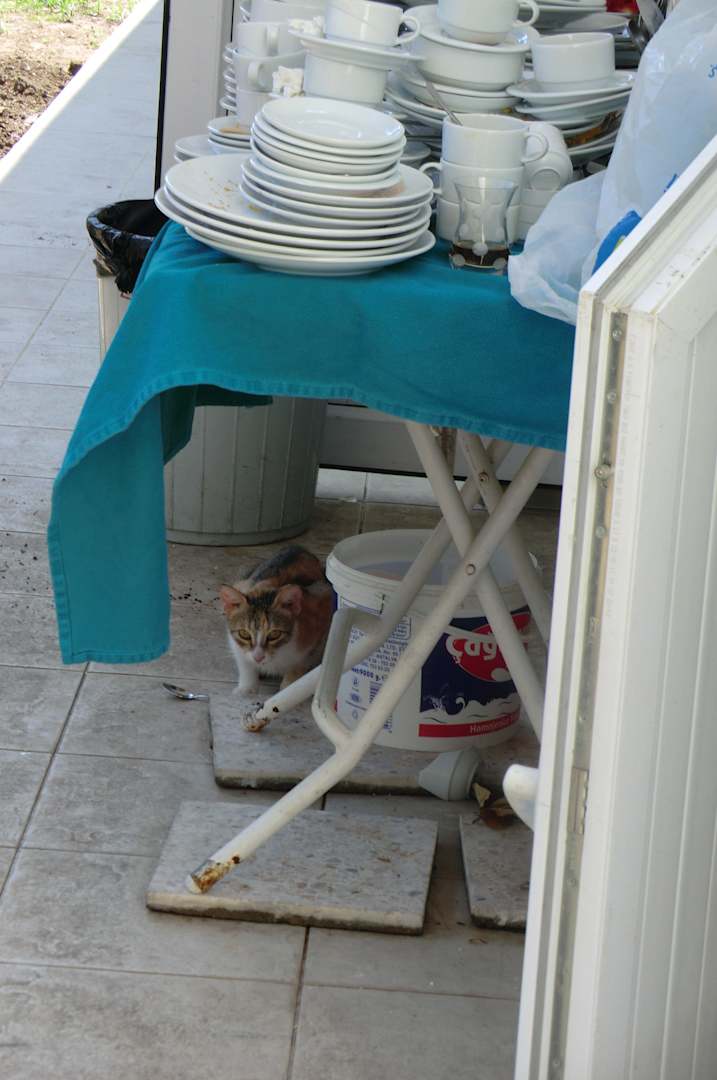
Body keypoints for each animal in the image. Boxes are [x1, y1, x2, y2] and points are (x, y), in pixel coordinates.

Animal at [220, 545, 333, 695]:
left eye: (274, 634)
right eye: (244, 634)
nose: (258, 657)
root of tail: (298, 547)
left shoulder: (323, 614)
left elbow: (302, 662)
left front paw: (288, 689)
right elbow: (242, 659)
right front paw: (246, 689)